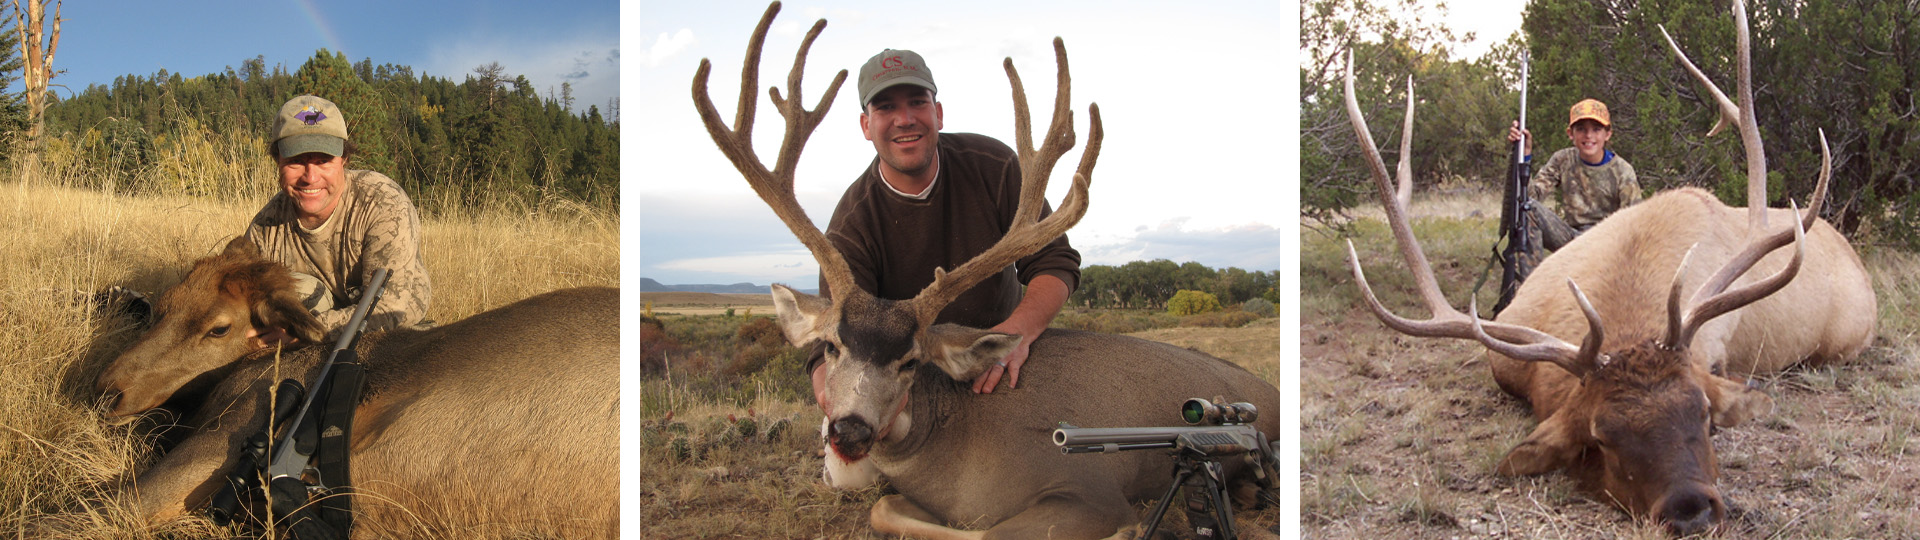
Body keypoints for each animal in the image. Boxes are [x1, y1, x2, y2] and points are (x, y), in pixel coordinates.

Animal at [691, 2, 1274, 534]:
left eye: (911, 360)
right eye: (832, 346)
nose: (850, 431)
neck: (955, 454)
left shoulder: (1091, 491)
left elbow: (989, 528)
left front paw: (1134, 528)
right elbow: (885, 506)